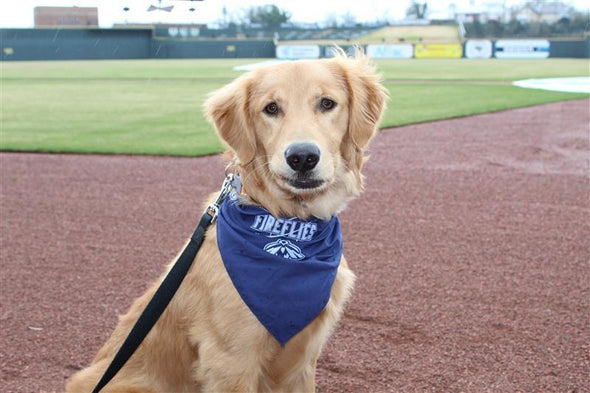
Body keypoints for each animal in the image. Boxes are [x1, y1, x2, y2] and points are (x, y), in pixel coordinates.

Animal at [67, 50, 388, 390]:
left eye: (327, 103)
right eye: (271, 108)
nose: (302, 157)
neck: (287, 222)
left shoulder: (303, 361)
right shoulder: (231, 360)